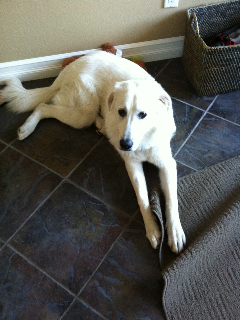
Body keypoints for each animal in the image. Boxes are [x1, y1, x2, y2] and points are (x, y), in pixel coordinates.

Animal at [0, 51, 186, 254]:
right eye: (121, 112)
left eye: (142, 115)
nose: (125, 144)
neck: (143, 140)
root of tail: (68, 69)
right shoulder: (132, 164)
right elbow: (142, 198)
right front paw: (152, 229)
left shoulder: (167, 164)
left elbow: (171, 201)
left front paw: (175, 232)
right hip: (82, 114)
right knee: (43, 106)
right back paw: (28, 128)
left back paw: (102, 127)